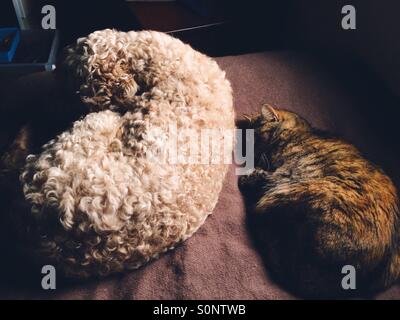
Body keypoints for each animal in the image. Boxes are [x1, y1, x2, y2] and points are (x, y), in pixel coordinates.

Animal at [239, 104, 398, 298]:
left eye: (254, 137)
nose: (248, 156)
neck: (300, 133)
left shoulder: (287, 174)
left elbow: (262, 177)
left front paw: (247, 177)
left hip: (290, 194)